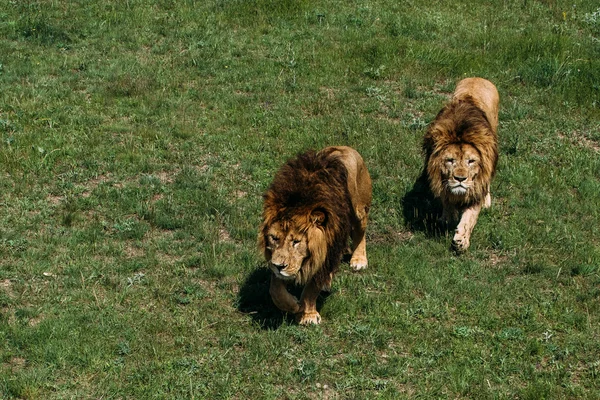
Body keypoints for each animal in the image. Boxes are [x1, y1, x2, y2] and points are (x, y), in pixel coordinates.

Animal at [258, 147, 370, 324]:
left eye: (296, 241)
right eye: (274, 238)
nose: (279, 266)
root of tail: (345, 147)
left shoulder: (324, 251)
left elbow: (312, 287)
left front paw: (308, 315)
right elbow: (275, 288)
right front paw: (292, 305)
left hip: (359, 208)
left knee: (360, 232)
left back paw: (359, 260)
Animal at [422, 77, 502, 252]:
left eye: (471, 161)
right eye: (450, 160)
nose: (460, 179)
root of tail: (477, 77)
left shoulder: (475, 189)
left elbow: (469, 218)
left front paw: (461, 240)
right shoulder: (443, 183)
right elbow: (447, 203)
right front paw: (447, 219)